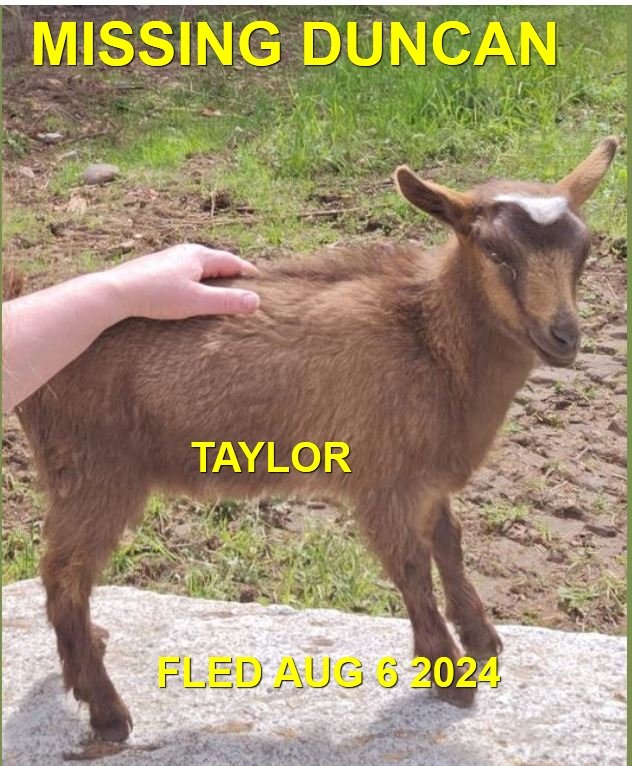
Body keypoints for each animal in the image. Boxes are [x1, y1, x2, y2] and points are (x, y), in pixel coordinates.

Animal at [15, 138, 617, 741]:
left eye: (584, 252)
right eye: (495, 253)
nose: (564, 337)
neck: (429, 340)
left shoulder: (427, 475)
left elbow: (449, 543)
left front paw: (482, 641)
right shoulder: (383, 476)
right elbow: (410, 565)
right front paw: (449, 676)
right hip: (95, 470)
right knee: (64, 574)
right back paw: (106, 710)